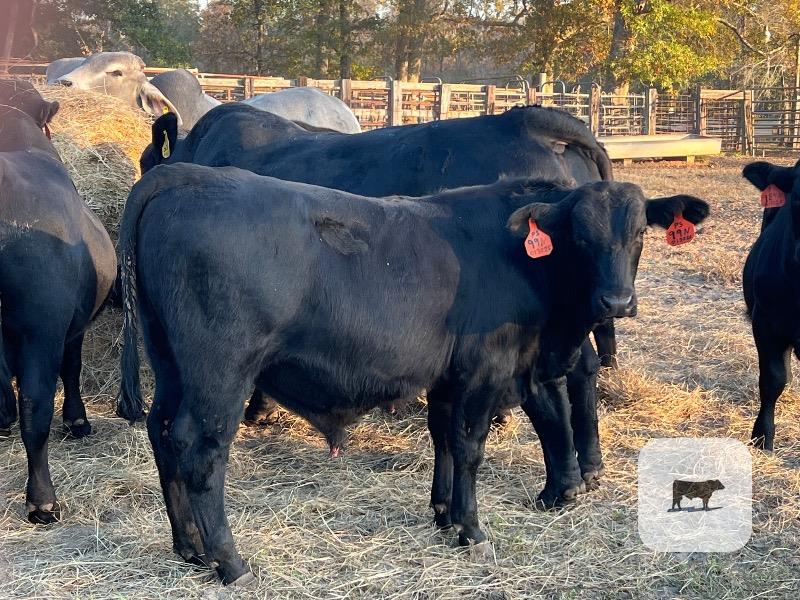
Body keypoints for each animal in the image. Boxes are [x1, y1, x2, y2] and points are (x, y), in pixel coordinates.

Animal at [0, 79, 117, 523]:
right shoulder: (68, 328)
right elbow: (72, 368)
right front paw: (78, 420)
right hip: (42, 329)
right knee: (36, 407)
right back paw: (43, 500)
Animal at [116, 162, 708, 584]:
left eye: (639, 235)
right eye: (579, 237)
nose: (617, 301)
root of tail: (186, 175)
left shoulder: (448, 377)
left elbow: (443, 436)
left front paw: (443, 512)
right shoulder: (484, 372)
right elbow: (469, 448)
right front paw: (471, 527)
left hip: (169, 364)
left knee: (163, 435)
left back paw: (188, 548)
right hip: (219, 375)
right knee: (201, 451)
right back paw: (229, 561)